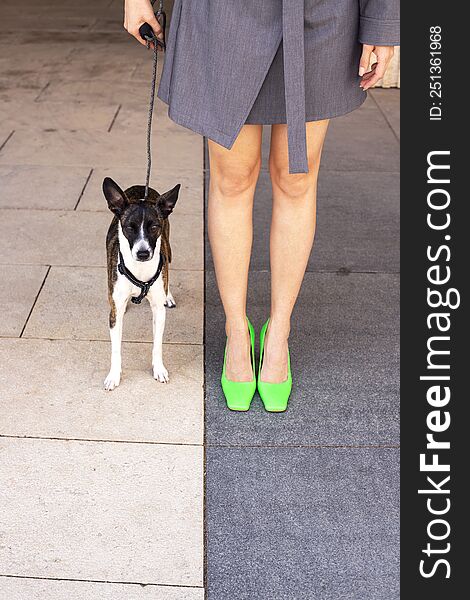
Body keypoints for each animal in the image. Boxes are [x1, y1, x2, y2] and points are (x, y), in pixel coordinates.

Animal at [102, 178, 180, 392]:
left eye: (154, 227)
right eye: (130, 227)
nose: (143, 253)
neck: (140, 269)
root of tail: (141, 188)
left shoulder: (159, 312)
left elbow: (157, 345)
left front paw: (159, 369)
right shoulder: (114, 314)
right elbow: (116, 349)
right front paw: (114, 376)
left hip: (169, 251)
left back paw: (168, 295)